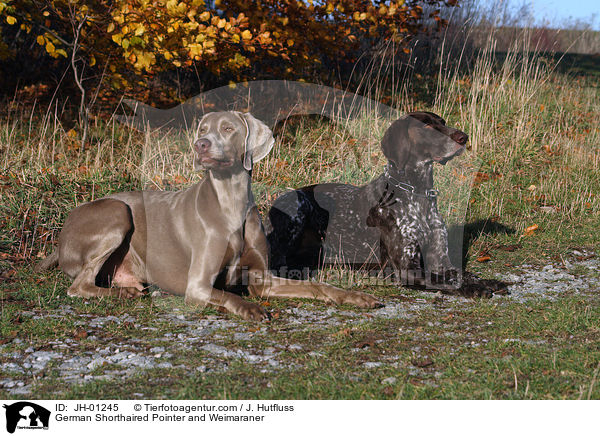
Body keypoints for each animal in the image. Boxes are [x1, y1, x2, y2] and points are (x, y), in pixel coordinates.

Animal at [35, 110, 380, 318]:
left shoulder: (263, 280)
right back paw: (122, 294)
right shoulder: (198, 286)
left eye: (227, 129)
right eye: (202, 129)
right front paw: (251, 309)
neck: (231, 203)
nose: (201, 144)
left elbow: (315, 286)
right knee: (77, 287)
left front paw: (354, 296)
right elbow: (230, 296)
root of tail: (61, 236)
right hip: (117, 211)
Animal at [268, 110, 506, 298]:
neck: (417, 194)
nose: (463, 137)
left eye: (443, 122)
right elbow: (441, 280)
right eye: (427, 126)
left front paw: (486, 281)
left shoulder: (441, 260)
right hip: (297, 208)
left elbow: (461, 272)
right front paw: (473, 289)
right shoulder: (407, 270)